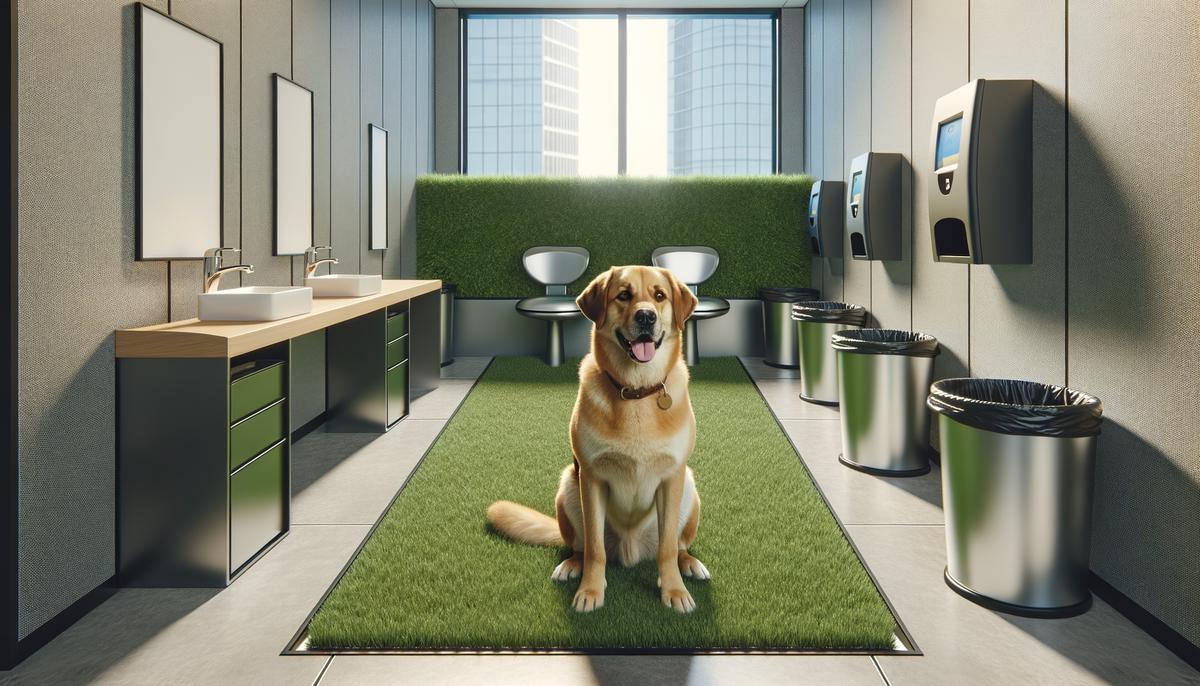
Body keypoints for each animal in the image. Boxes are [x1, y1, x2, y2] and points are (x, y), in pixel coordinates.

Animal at [487, 265, 710, 614]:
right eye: (624, 295)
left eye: (659, 296)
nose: (646, 316)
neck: (636, 393)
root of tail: (631, 550)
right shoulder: (591, 479)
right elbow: (595, 549)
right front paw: (590, 591)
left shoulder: (672, 477)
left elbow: (667, 549)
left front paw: (674, 591)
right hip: (569, 485)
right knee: (580, 546)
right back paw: (570, 566)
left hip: (688, 487)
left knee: (677, 545)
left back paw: (689, 564)